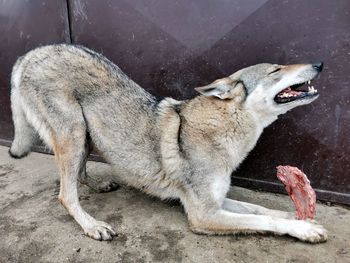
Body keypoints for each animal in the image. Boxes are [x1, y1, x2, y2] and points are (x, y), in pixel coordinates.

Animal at [8, 43, 326, 243]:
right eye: (276, 70)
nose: (320, 63)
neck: (224, 129)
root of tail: (29, 54)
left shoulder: (218, 201)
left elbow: (263, 210)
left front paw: (302, 218)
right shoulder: (203, 214)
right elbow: (264, 221)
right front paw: (303, 230)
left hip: (84, 135)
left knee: (79, 176)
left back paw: (98, 186)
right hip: (72, 134)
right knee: (66, 194)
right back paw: (92, 226)